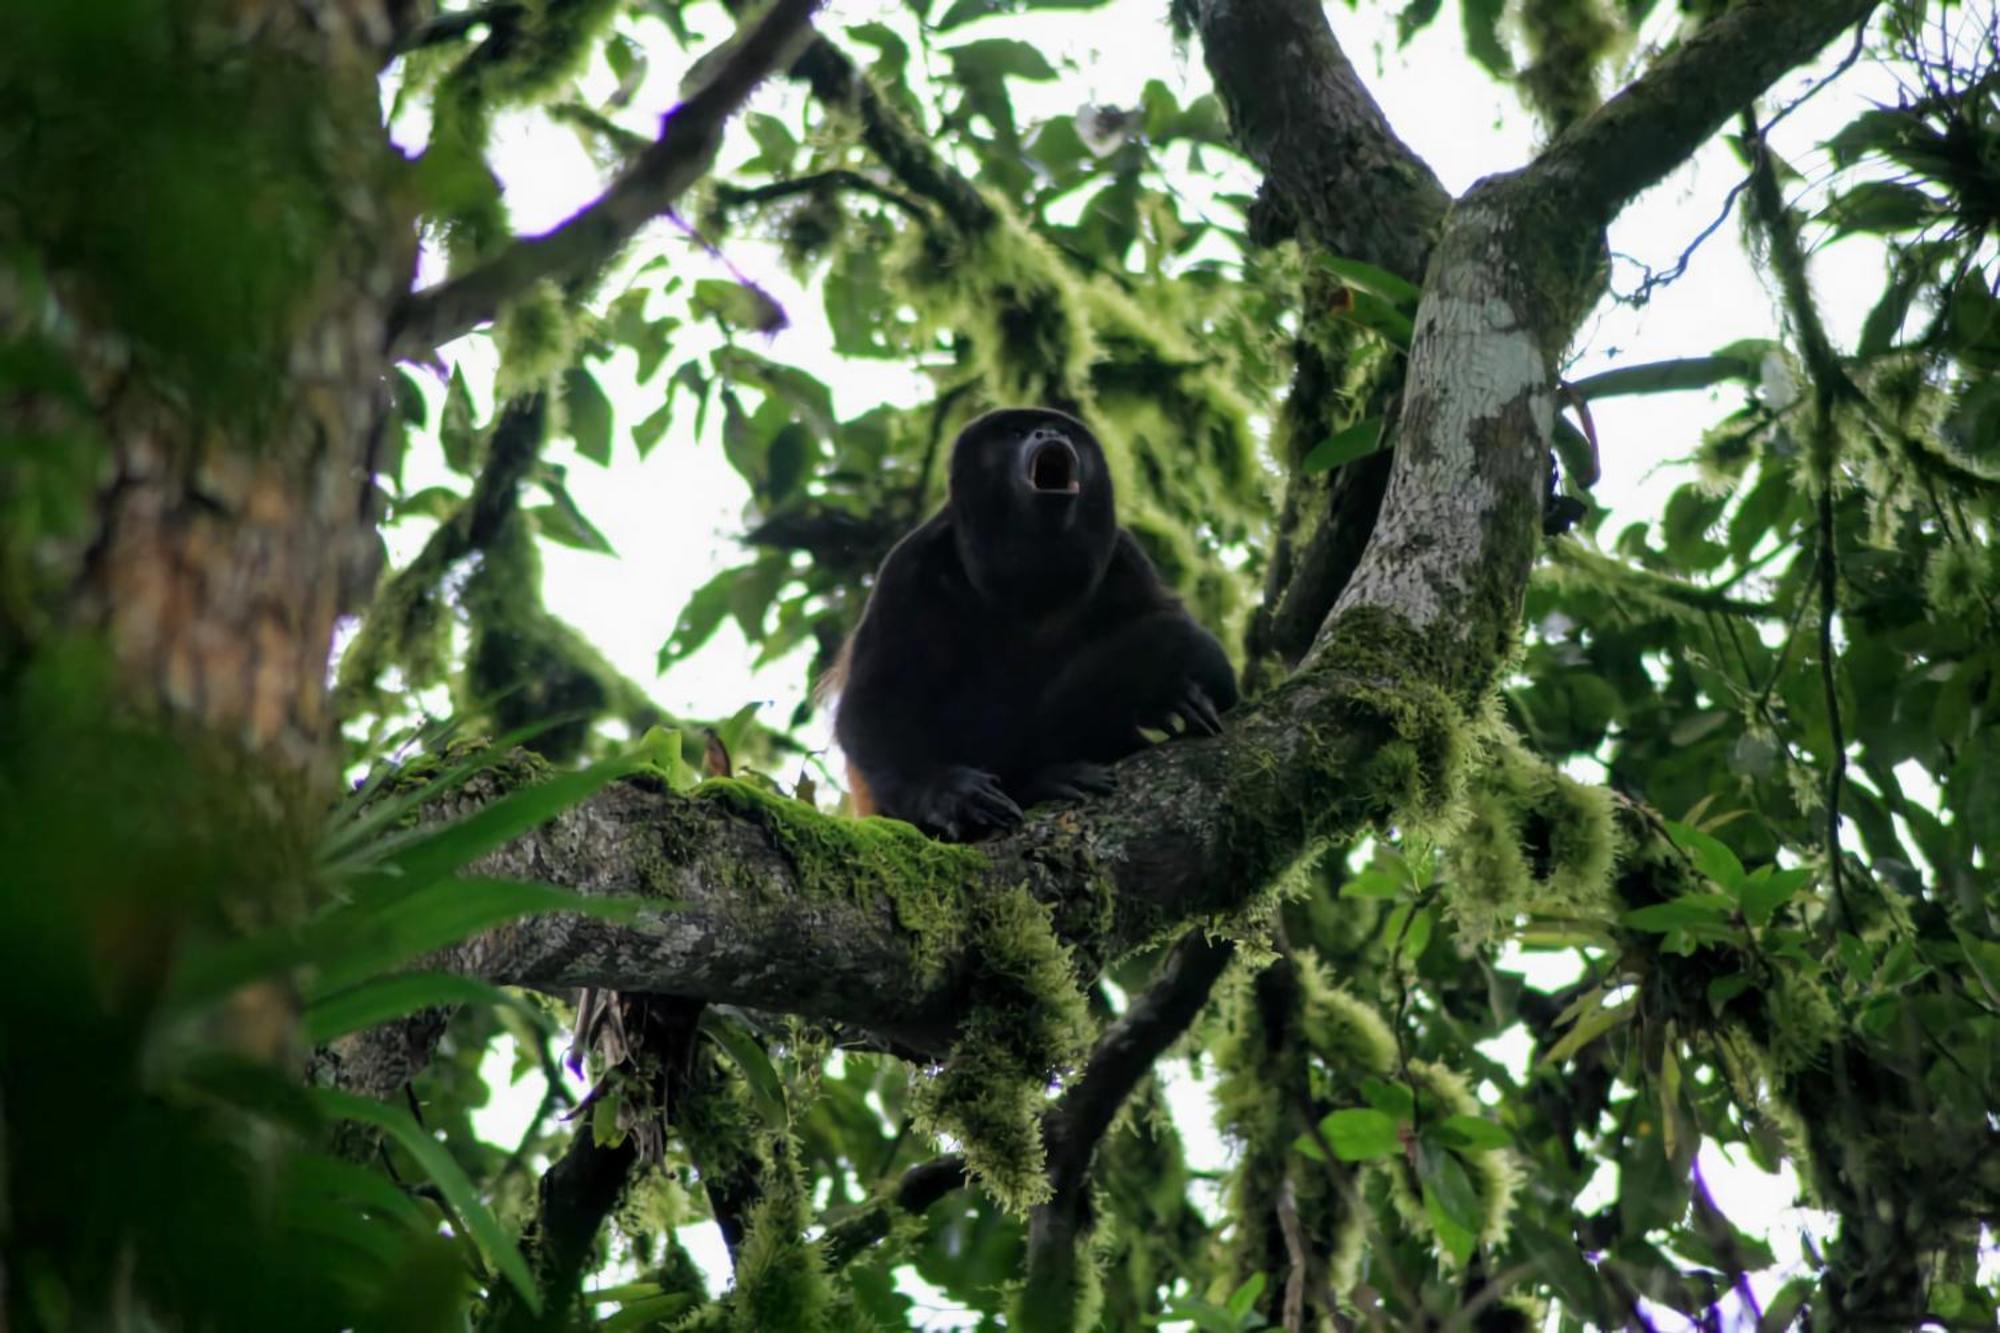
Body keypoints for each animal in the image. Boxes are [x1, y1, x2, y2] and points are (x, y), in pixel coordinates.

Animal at [828, 408, 1232, 840]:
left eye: (1062, 429)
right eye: (1017, 432)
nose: (1048, 432)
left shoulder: (1125, 556)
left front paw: (1178, 694)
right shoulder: (908, 567)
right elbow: (872, 704)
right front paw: (946, 792)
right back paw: (1039, 781)